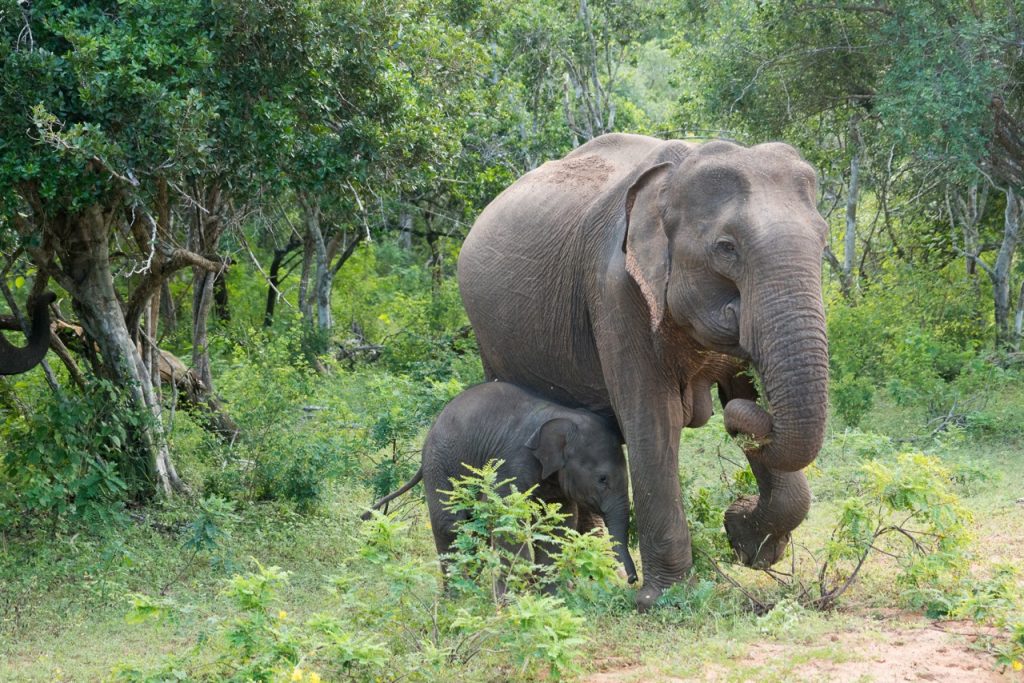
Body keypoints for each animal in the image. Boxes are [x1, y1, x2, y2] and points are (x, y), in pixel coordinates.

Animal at [364, 382, 634, 585]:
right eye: (602, 479)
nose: (632, 580)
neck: (561, 415)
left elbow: (556, 525)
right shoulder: (512, 462)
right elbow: (508, 518)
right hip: (440, 464)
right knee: (450, 525)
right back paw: (459, 597)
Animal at [460, 133, 827, 610]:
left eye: (823, 240)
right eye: (726, 248)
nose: (733, 421)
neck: (676, 174)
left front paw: (746, 542)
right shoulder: (616, 291)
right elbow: (653, 421)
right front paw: (662, 599)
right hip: (490, 338)